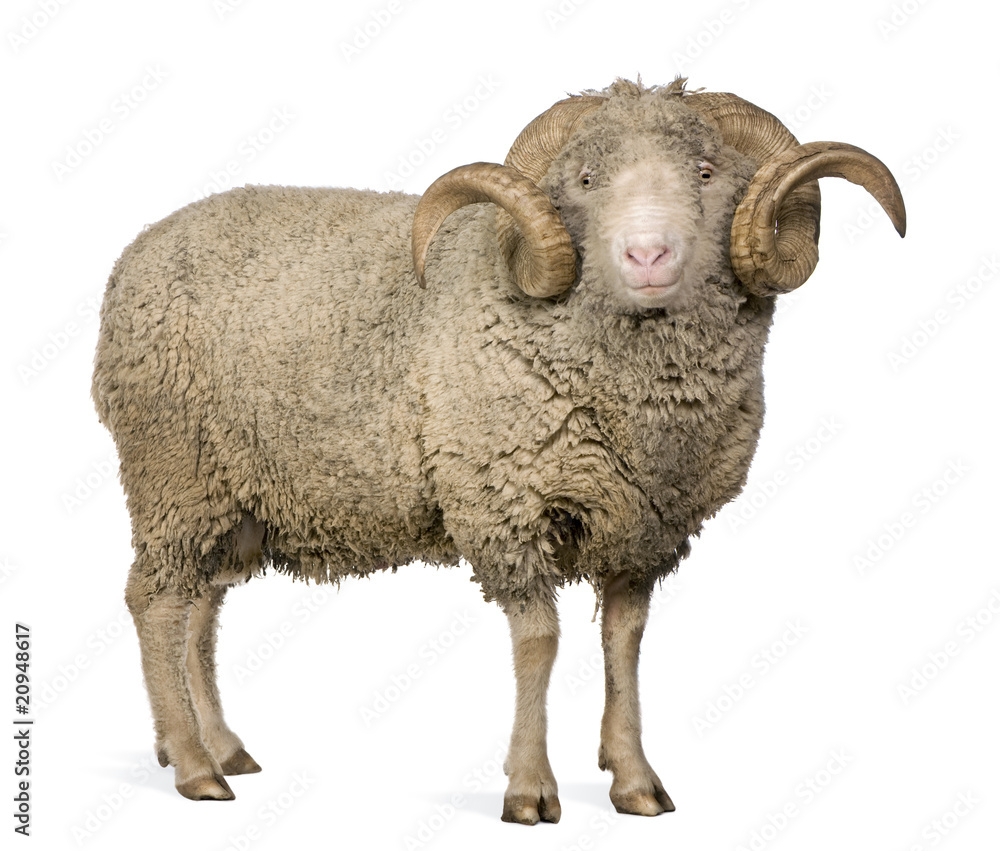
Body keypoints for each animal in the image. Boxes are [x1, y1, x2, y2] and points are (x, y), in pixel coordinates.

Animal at [91, 77, 905, 823]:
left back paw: (219, 744)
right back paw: (195, 766)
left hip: (235, 496)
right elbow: (539, 643)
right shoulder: (504, 502)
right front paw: (530, 788)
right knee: (154, 602)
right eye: (585, 180)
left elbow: (625, 643)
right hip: (175, 470)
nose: (647, 255)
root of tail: (136, 252)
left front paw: (634, 778)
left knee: (199, 607)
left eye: (706, 172)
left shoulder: (643, 527)